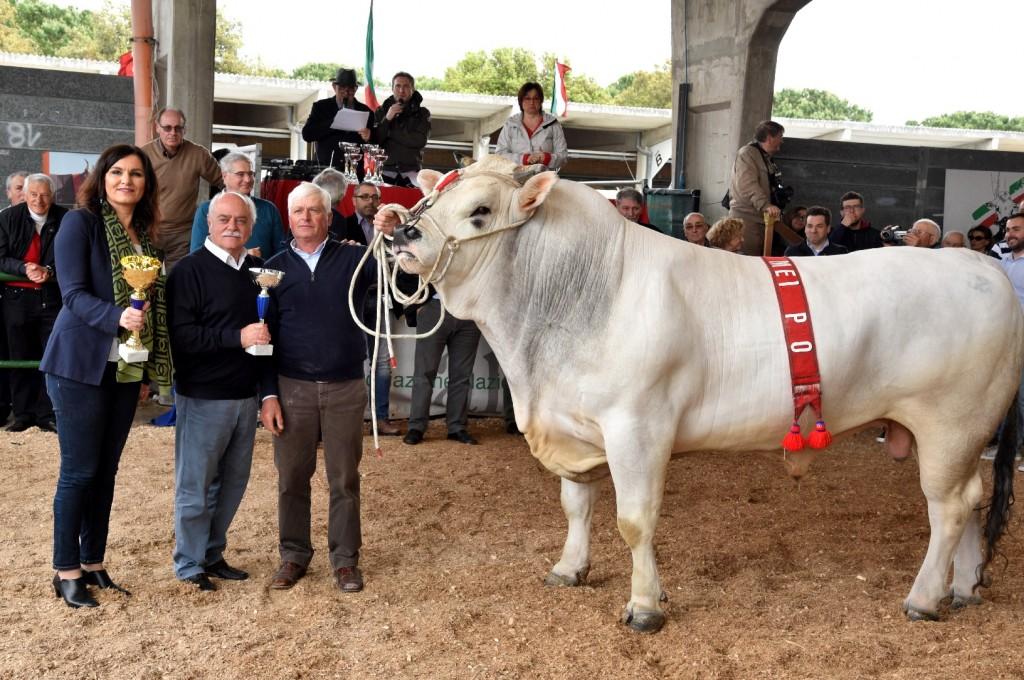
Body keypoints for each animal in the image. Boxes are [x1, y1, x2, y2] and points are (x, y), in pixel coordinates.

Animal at [376, 157, 1024, 630]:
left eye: (480, 211)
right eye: (432, 200)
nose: (400, 232)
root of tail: (984, 269)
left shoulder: (636, 428)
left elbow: (634, 520)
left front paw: (644, 606)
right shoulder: (573, 425)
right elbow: (576, 504)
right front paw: (569, 568)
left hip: (951, 423)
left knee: (949, 506)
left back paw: (924, 598)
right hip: (953, 433)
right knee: (971, 499)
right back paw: (963, 587)